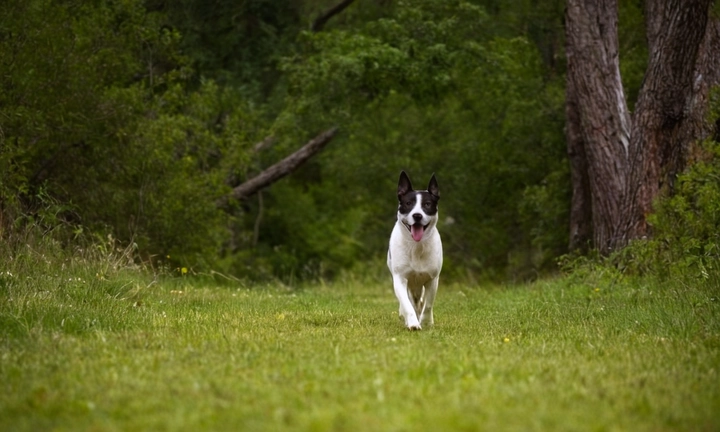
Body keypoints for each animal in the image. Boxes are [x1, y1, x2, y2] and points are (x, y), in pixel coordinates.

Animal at [386, 170, 442, 330]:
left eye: (427, 204)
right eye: (408, 204)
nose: (417, 215)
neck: (416, 246)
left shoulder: (432, 279)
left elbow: (428, 304)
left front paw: (426, 322)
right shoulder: (400, 278)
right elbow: (406, 304)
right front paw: (413, 323)